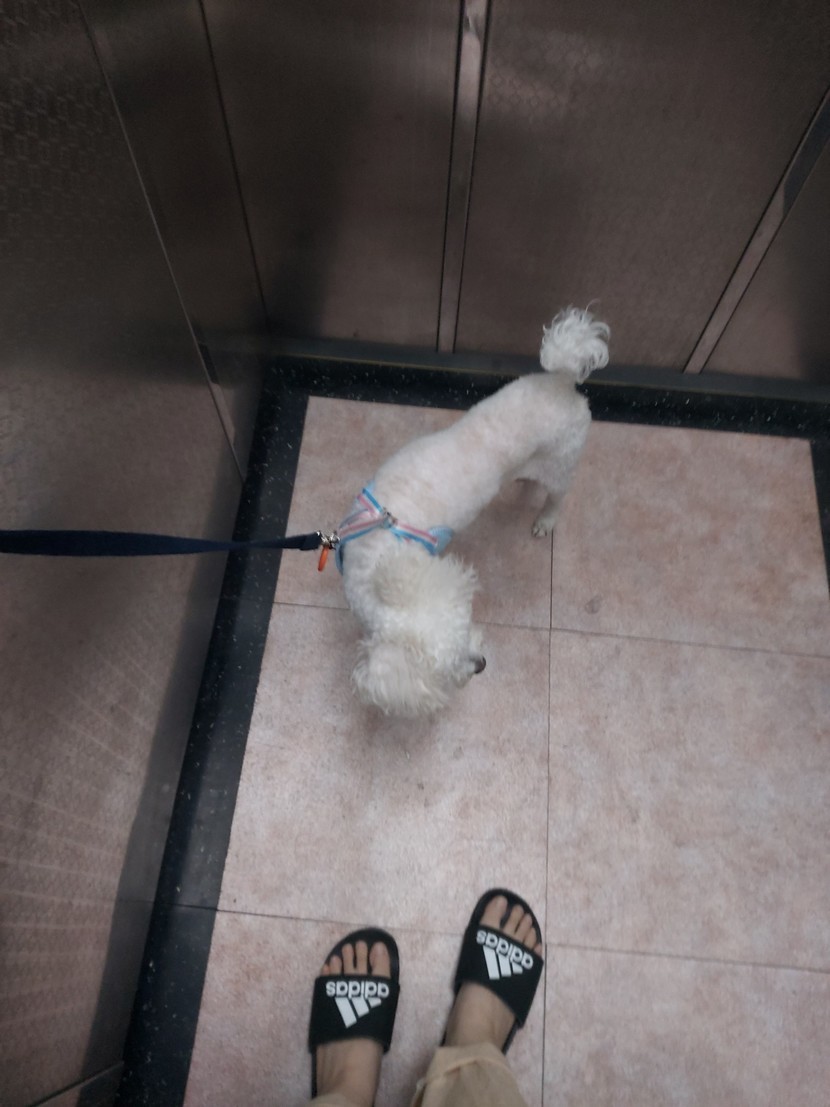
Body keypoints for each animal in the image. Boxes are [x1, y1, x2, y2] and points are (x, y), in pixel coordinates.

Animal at [335, 307, 609, 717]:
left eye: (467, 629)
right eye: (449, 665)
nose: (481, 665)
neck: (379, 548)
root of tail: (561, 382)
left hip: (562, 463)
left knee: (557, 497)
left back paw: (545, 520)